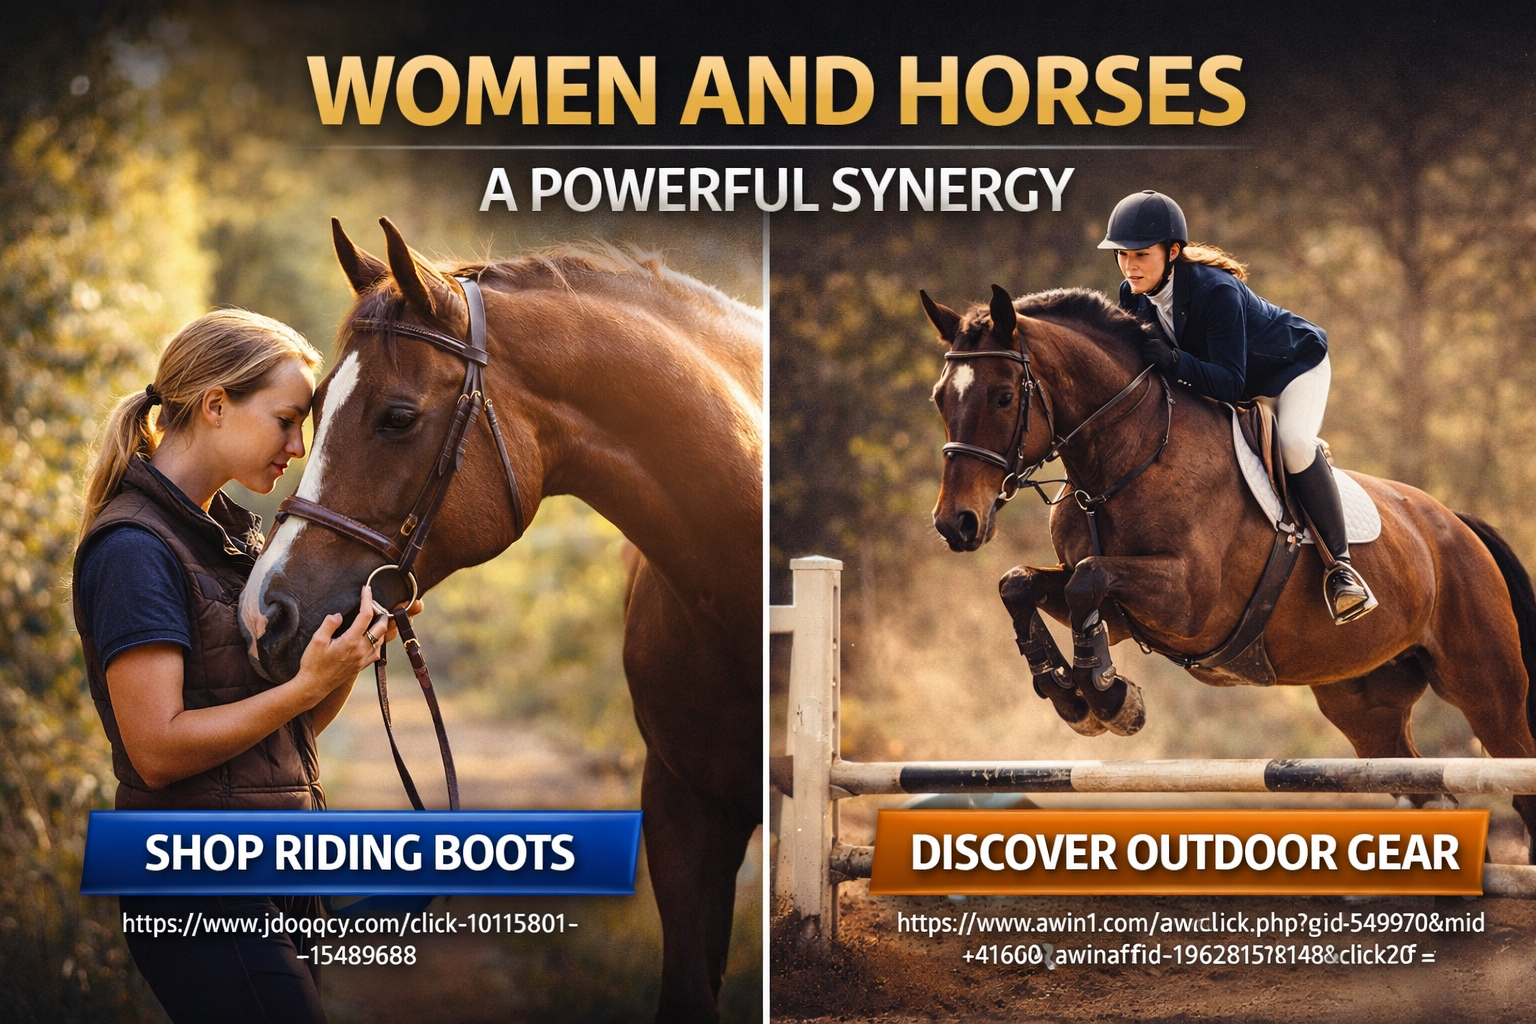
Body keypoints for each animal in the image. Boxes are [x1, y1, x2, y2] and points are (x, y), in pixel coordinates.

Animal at [922, 284, 1536, 860]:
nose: (957, 523)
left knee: (1515, 765)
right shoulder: (1121, 615)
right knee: (1428, 792)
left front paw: (1109, 698)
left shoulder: (1188, 603)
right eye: (939, 400)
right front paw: (1071, 694)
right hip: (1366, 704)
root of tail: (1455, 524)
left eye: (1004, 397)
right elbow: (1022, 583)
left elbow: (1086, 579)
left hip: (1486, 688)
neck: (1124, 458)